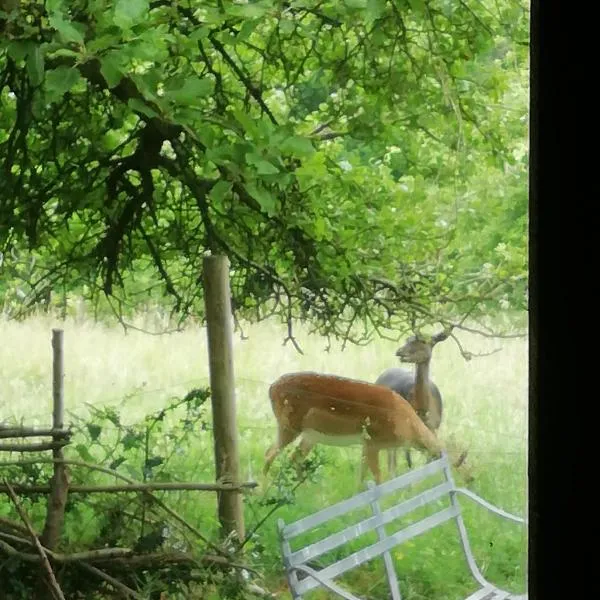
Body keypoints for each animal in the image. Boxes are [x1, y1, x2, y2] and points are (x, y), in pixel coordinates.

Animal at [264, 372, 446, 486]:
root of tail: (271, 388)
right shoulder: (373, 442)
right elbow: (378, 477)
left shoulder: (366, 444)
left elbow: (361, 476)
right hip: (289, 425)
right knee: (270, 453)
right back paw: (262, 493)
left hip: (310, 435)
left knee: (294, 457)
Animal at [372, 330, 448, 476]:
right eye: (407, 339)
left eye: (424, 340)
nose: (399, 351)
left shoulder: (434, 429)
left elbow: (431, 459)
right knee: (391, 457)